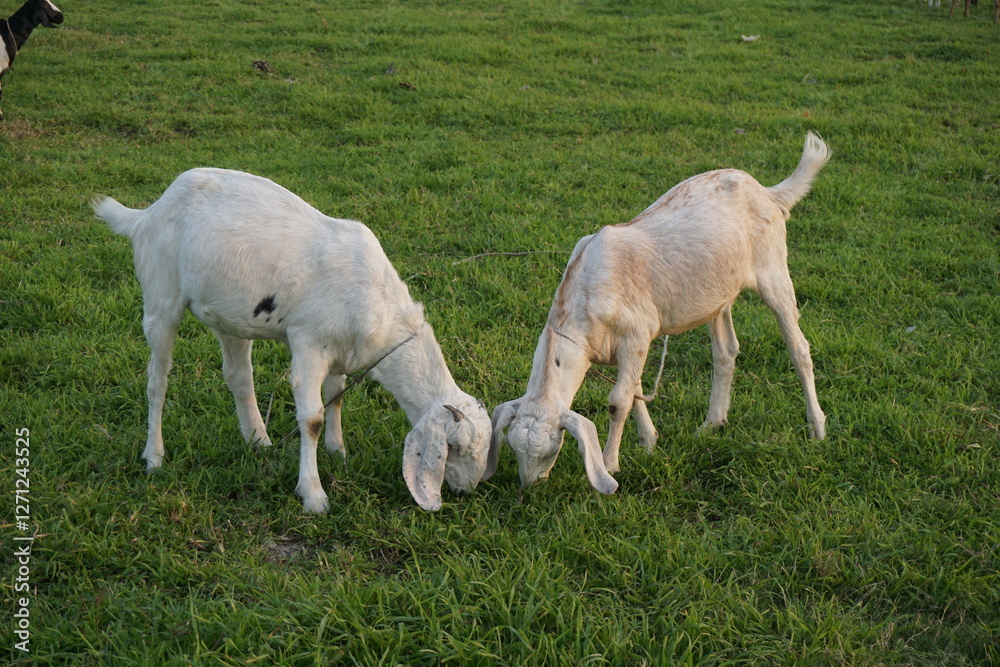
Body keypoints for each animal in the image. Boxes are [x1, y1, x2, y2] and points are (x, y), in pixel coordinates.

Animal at [94, 168, 492, 513]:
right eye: (453, 446)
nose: (467, 490)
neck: (380, 305)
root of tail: (148, 213)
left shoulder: (342, 350)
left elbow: (336, 397)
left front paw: (338, 451)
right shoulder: (308, 344)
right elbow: (312, 418)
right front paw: (313, 495)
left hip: (231, 316)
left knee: (238, 377)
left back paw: (259, 441)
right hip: (160, 297)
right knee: (156, 381)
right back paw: (154, 457)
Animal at [485, 133, 830, 494]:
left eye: (552, 448)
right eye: (513, 448)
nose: (528, 487)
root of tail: (767, 191)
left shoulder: (637, 335)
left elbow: (618, 401)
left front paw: (610, 463)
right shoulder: (627, 346)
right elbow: (635, 390)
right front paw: (649, 441)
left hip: (774, 269)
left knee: (798, 348)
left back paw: (817, 428)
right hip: (718, 295)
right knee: (726, 352)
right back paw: (711, 424)